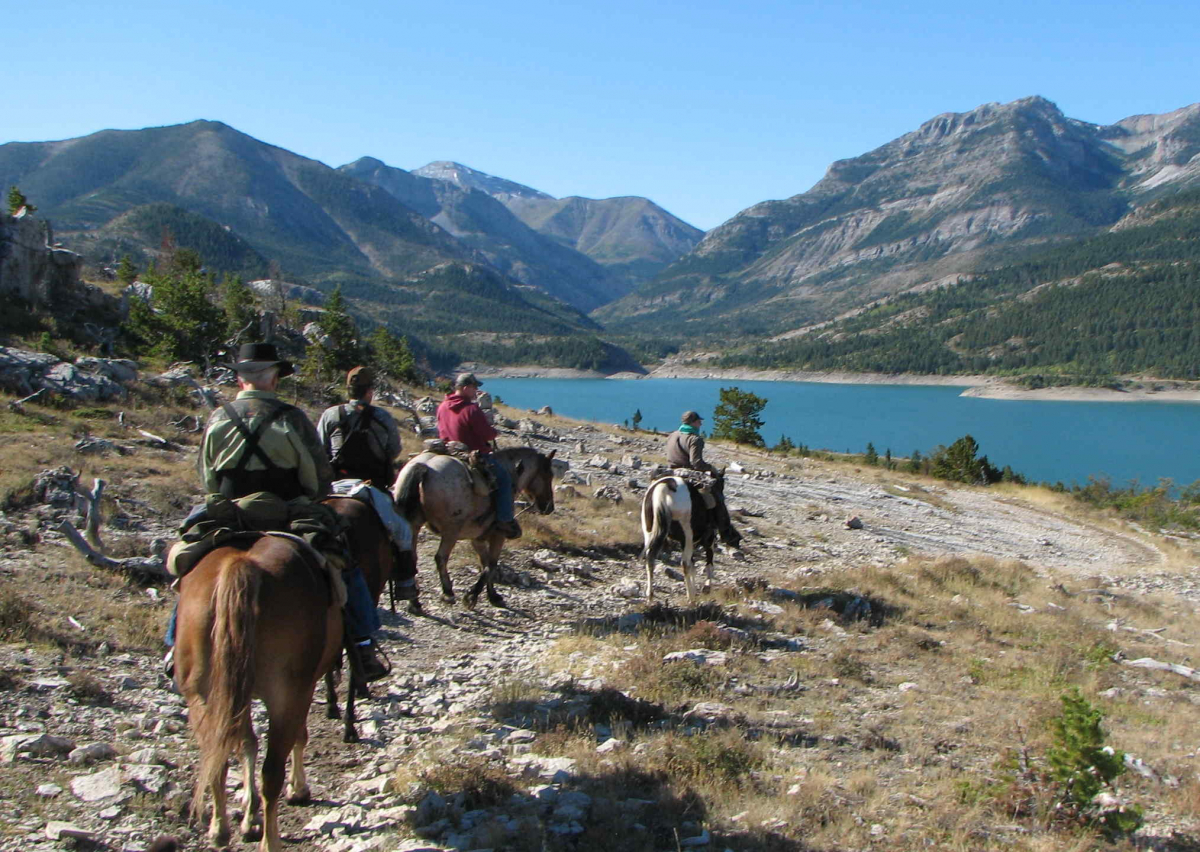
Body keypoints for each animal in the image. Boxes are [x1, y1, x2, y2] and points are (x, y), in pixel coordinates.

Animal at [171, 537, 338, 849]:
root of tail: (241, 564)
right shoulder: (303, 689)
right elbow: (297, 736)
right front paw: (298, 789)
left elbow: (246, 743)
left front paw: (249, 818)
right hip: (287, 695)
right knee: (271, 772)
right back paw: (270, 841)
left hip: (202, 696)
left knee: (217, 758)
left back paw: (219, 829)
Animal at [396, 444, 559, 609]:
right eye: (548, 475)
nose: (549, 507)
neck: (512, 472)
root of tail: (424, 467)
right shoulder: (498, 535)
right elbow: (491, 565)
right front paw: (472, 596)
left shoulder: (477, 539)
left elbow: (485, 563)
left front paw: (491, 595)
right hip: (451, 530)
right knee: (441, 558)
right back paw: (448, 593)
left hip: (414, 525)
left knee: (411, 557)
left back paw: (414, 601)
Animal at [638, 472, 739, 600]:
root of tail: (665, 486)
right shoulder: (707, 538)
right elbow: (707, 564)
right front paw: (704, 588)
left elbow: (694, 565)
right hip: (687, 536)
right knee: (685, 564)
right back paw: (691, 598)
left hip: (650, 532)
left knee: (650, 558)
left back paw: (650, 596)